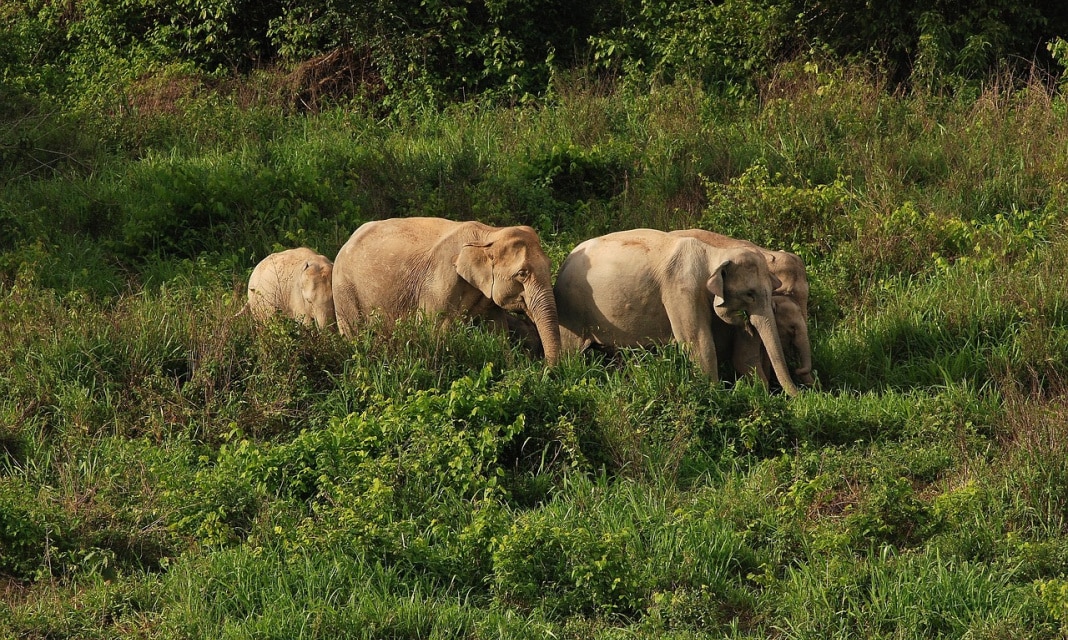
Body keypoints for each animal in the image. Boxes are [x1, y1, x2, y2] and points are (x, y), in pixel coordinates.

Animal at [331, 217, 568, 365]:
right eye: (522, 274)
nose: (542, 369)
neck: (489, 234)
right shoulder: (440, 282)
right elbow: (433, 333)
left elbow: (496, 331)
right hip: (344, 291)